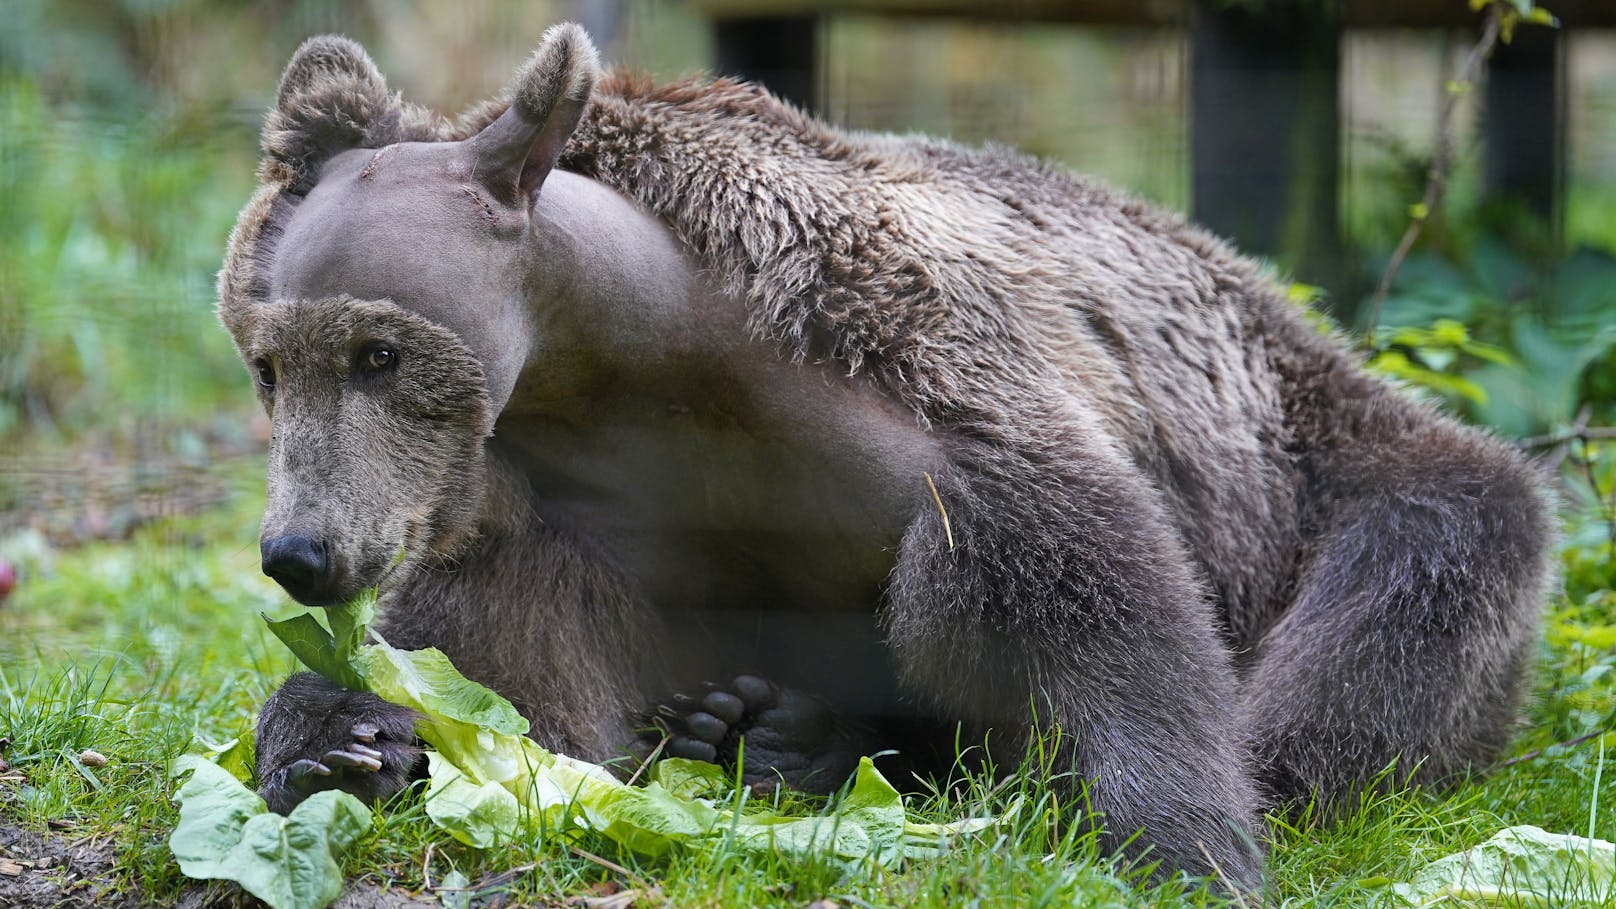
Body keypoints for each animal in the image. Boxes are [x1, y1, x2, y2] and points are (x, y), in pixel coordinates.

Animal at [224, 21, 1551, 886]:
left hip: (1320, 466)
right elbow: (498, 669)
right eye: (266, 361)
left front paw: (1179, 843)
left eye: (378, 353)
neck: (644, 359)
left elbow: (1101, 624)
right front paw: (349, 737)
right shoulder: (556, 514)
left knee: (1400, 597)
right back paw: (760, 733)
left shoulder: (948, 410)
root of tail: (1282, 311)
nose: (301, 551)